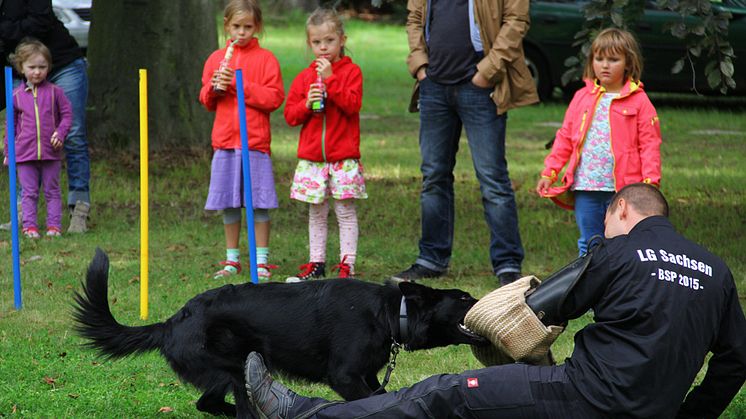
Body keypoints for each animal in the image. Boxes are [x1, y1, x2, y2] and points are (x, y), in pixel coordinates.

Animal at [72, 249, 486, 416]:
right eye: (464, 298)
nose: (485, 298)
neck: (388, 312)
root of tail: (171, 321)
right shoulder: (346, 376)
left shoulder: (367, 375)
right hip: (233, 366)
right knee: (224, 404)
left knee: (211, 404)